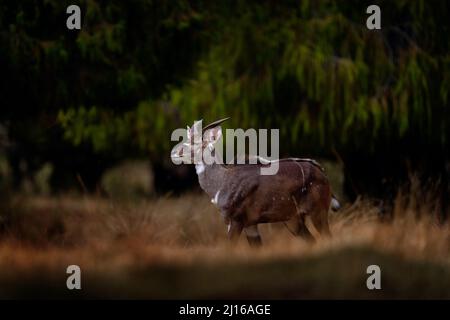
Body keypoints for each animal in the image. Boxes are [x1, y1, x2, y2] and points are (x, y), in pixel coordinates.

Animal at [171, 117, 340, 245]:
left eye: (195, 142)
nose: (174, 152)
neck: (220, 184)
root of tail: (322, 172)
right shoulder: (250, 225)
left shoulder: (236, 220)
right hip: (293, 219)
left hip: (317, 211)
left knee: (328, 237)